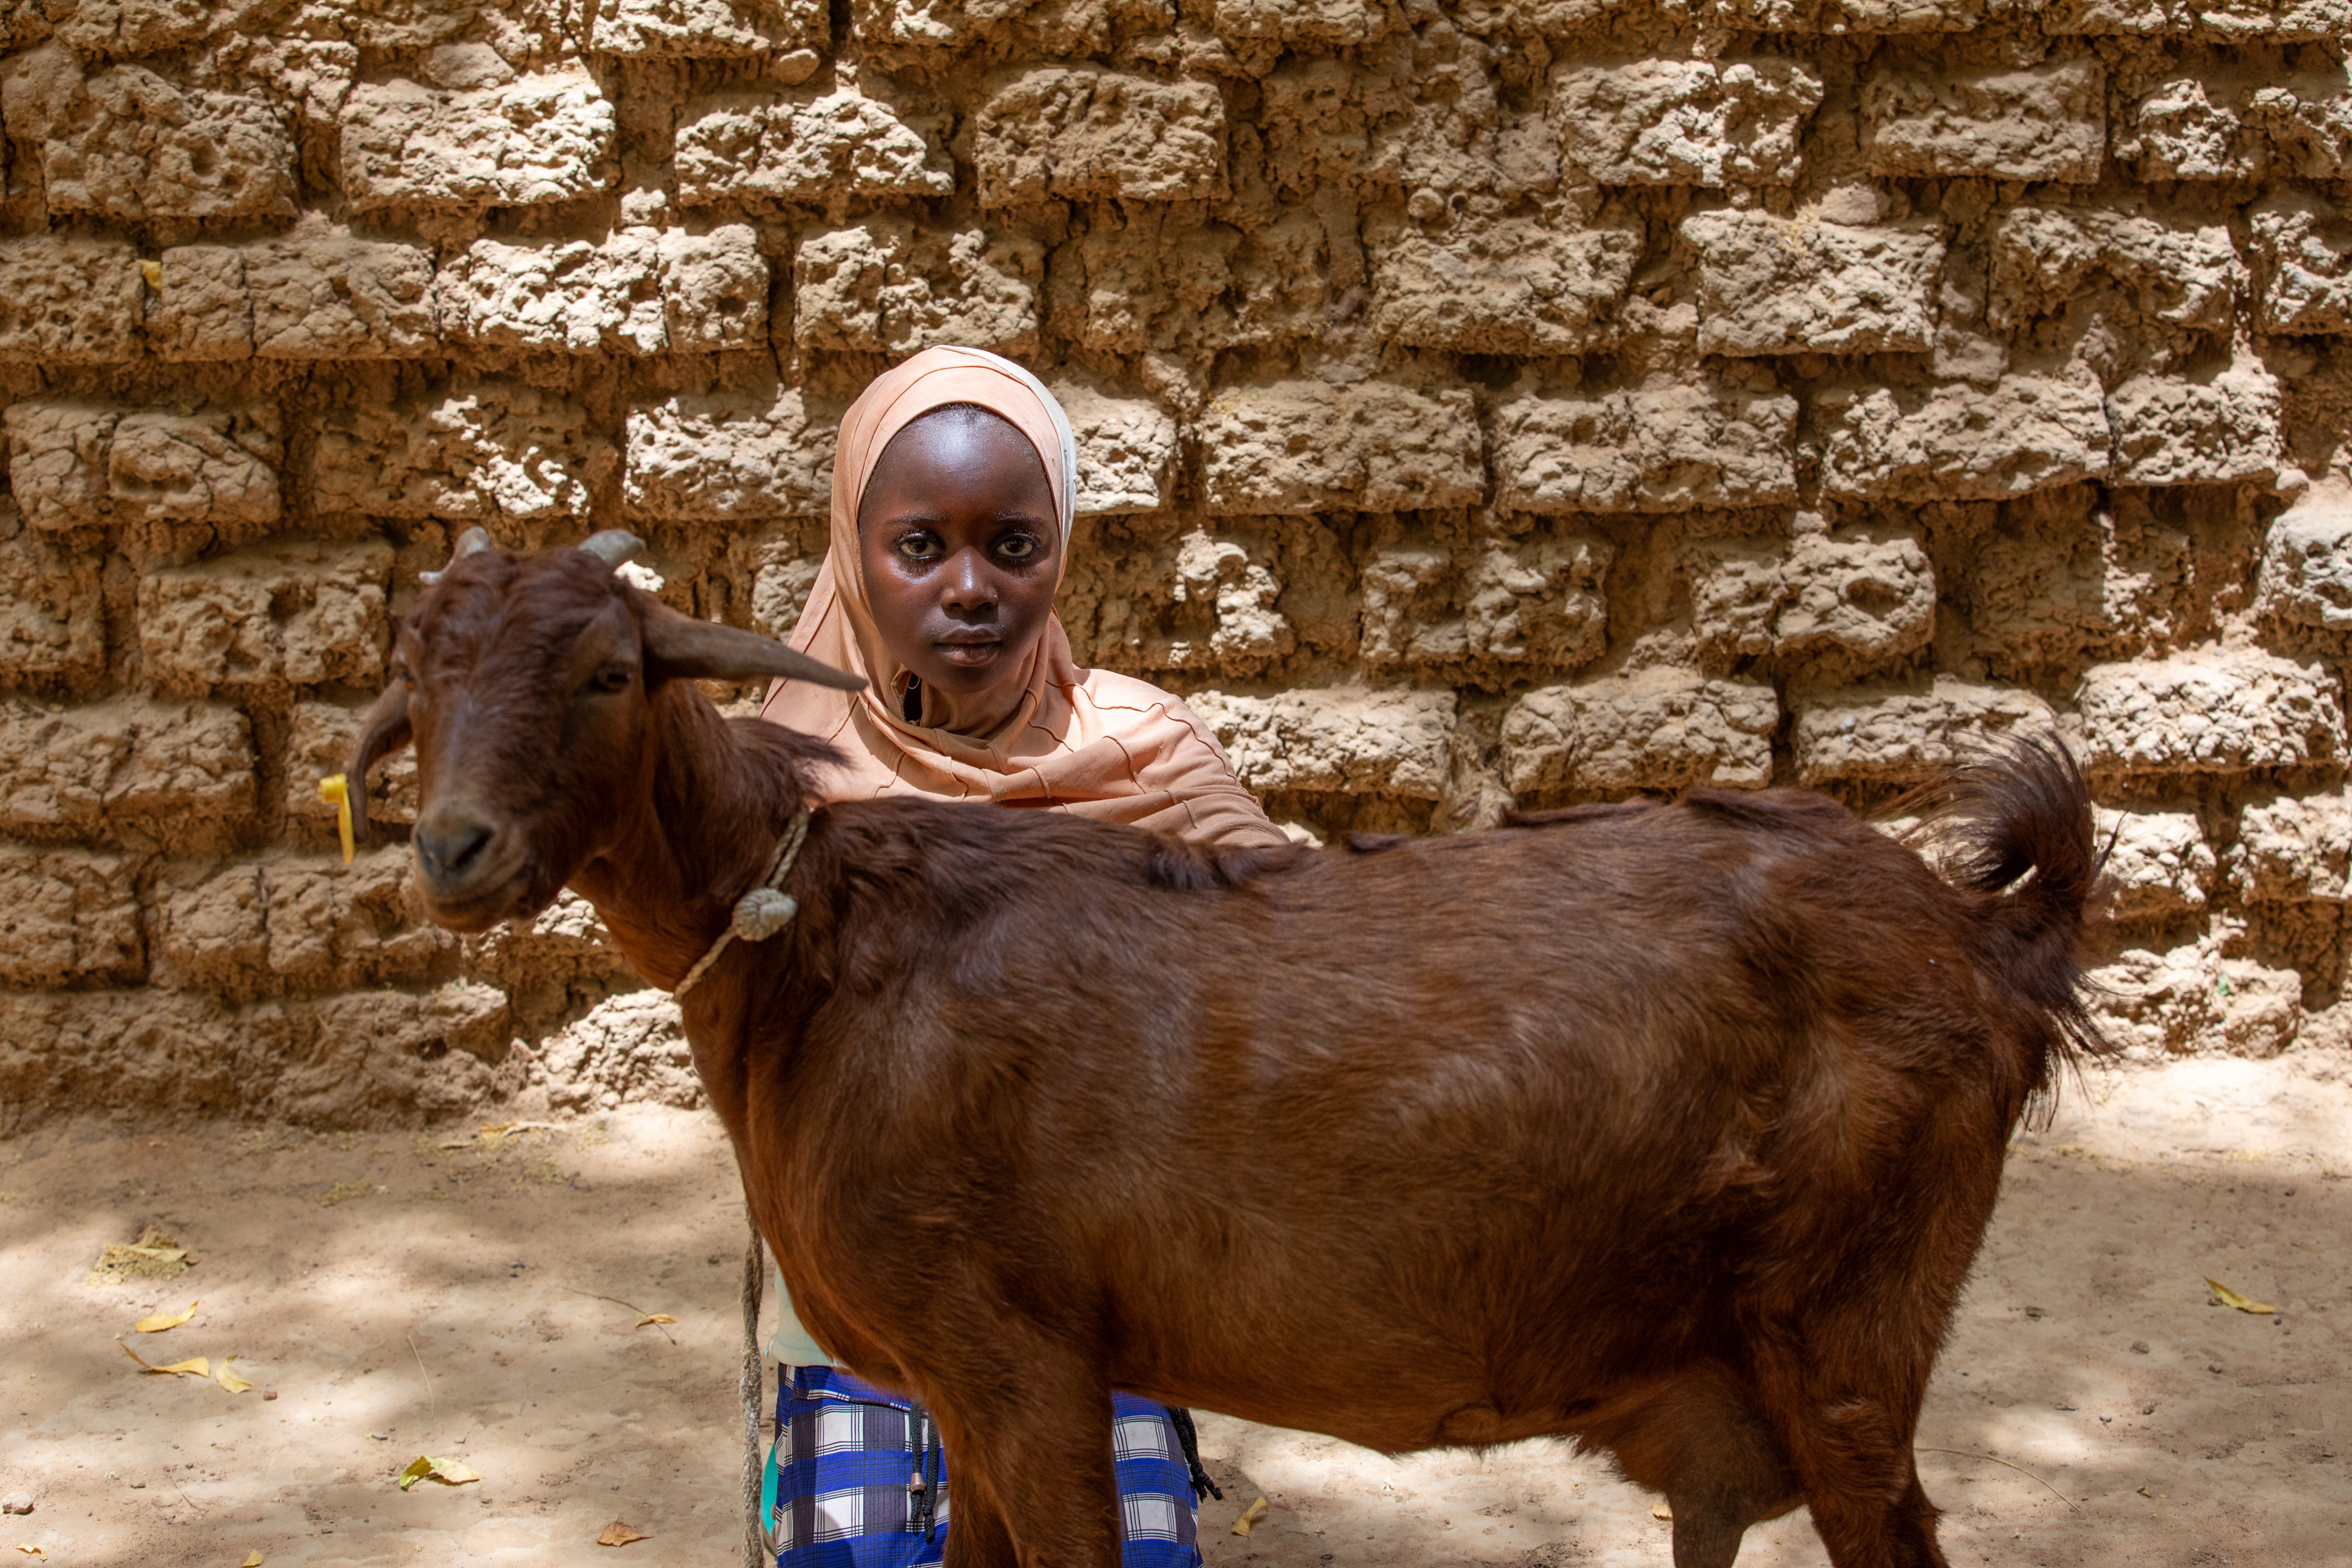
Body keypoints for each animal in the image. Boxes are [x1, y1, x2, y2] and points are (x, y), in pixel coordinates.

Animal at [351, 530, 2108, 1568]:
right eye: (417, 680)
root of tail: (1981, 939)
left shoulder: (1021, 1362)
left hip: (1849, 1321)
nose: (454, 849)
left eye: (604, 671)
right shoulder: (957, 1388)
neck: (827, 939)